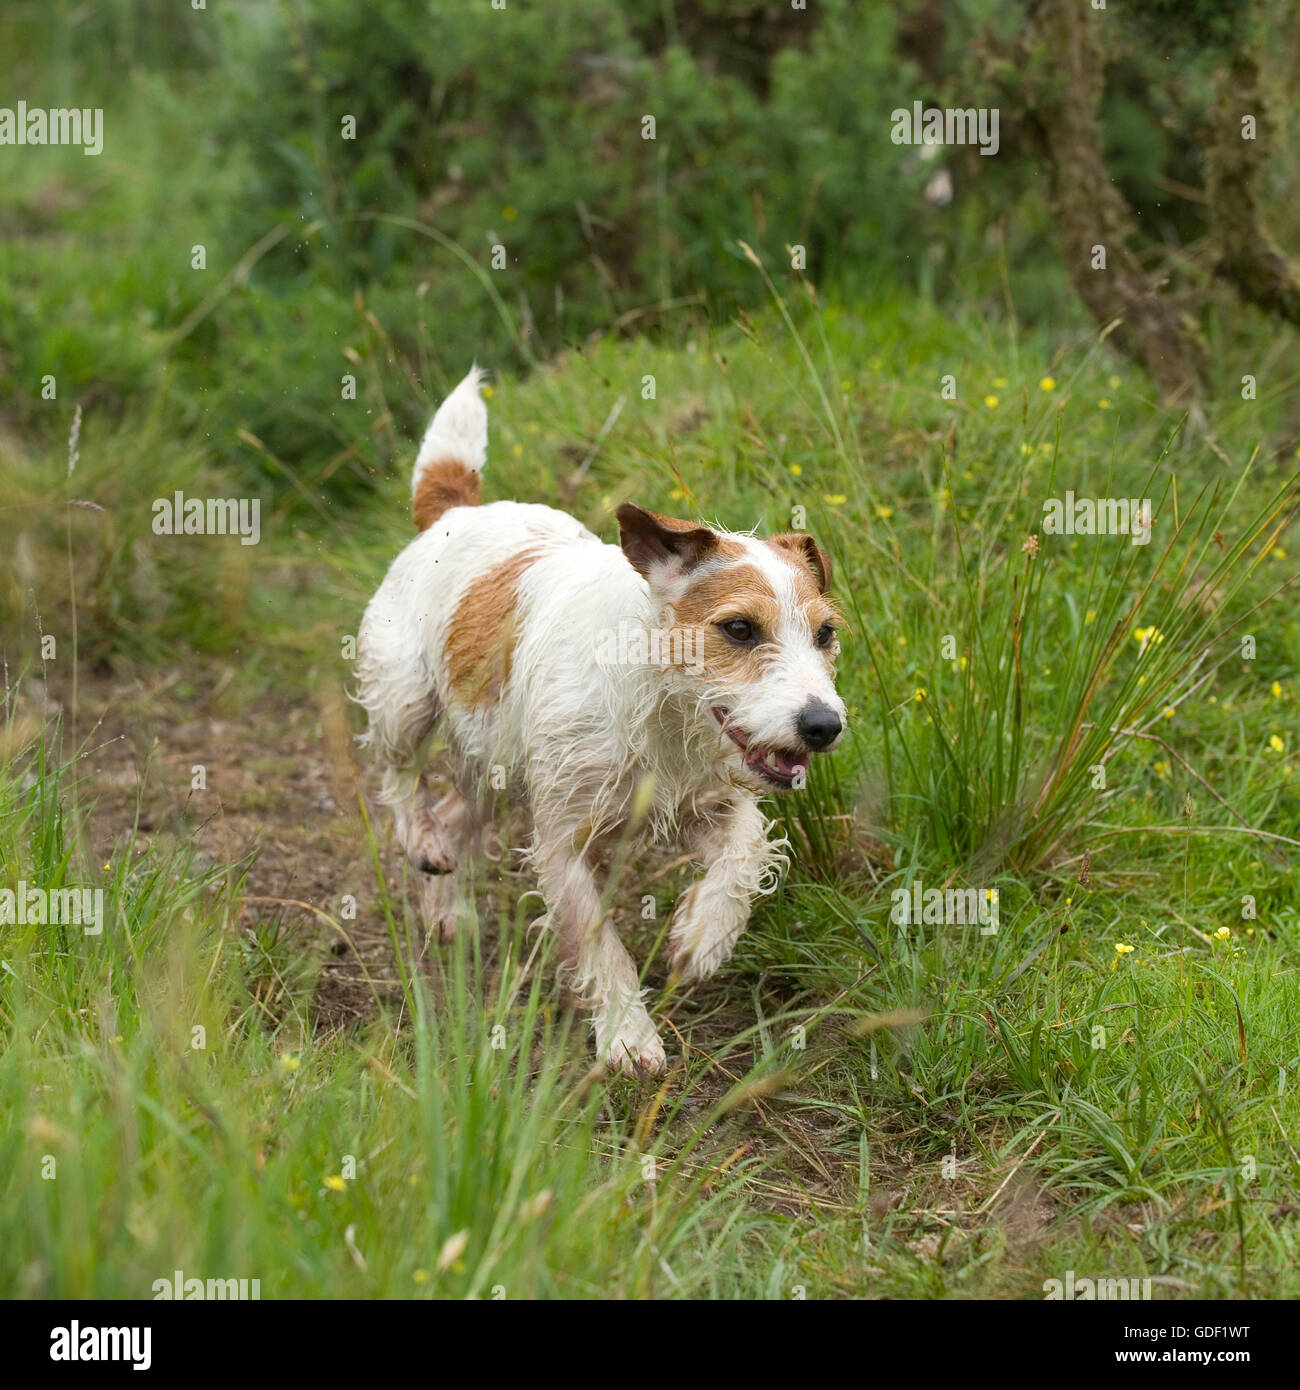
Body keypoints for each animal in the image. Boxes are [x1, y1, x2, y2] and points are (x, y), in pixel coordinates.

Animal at [358, 369, 845, 1073]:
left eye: (826, 633)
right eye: (738, 628)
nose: (823, 724)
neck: (658, 705)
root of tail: (453, 511)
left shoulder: (708, 805)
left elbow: (746, 853)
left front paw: (702, 936)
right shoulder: (563, 841)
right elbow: (597, 943)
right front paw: (628, 1035)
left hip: (494, 765)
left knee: (454, 815)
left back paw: (446, 903)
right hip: (406, 702)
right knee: (398, 779)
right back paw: (420, 840)